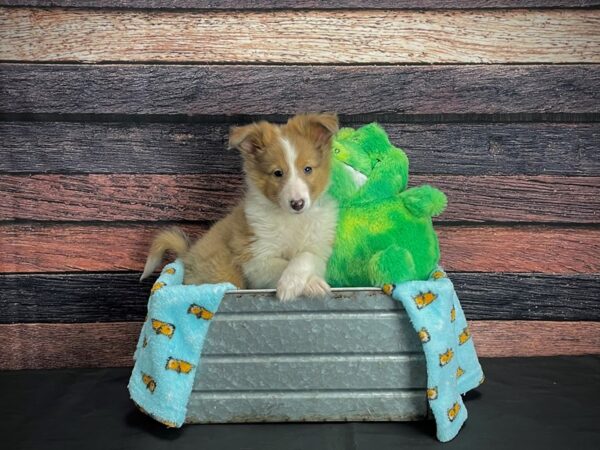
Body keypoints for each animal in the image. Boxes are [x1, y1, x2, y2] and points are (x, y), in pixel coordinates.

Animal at [139, 113, 338, 302]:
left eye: (308, 169)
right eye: (277, 173)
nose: (297, 204)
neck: (290, 218)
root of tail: (188, 255)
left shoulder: (319, 249)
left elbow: (305, 256)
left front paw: (303, 283)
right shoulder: (254, 258)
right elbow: (281, 264)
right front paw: (296, 285)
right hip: (224, 268)